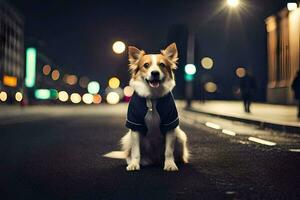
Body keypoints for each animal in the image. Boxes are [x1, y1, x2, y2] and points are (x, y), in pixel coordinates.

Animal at [104, 43, 190, 171]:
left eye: (162, 65)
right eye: (146, 65)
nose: (155, 73)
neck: (152, 96)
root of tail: (154, 159)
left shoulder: (170, 125)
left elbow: (169, 151)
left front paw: (170, 164)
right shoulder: (135, 126)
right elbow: (136, 152)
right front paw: (134, 164)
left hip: (180, 136)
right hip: (128, 139)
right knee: (130, 153)